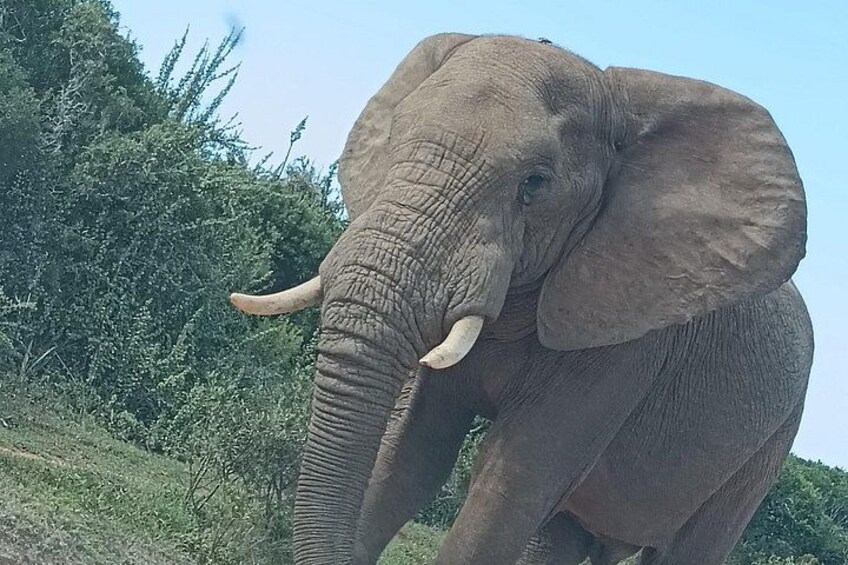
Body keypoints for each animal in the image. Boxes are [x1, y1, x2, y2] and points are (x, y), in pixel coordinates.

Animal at [230, 34, 813, 564]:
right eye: (393, 139)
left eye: (535, 183)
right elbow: (410, 455)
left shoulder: (627, 338)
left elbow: (507, 488)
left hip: (768, 449)